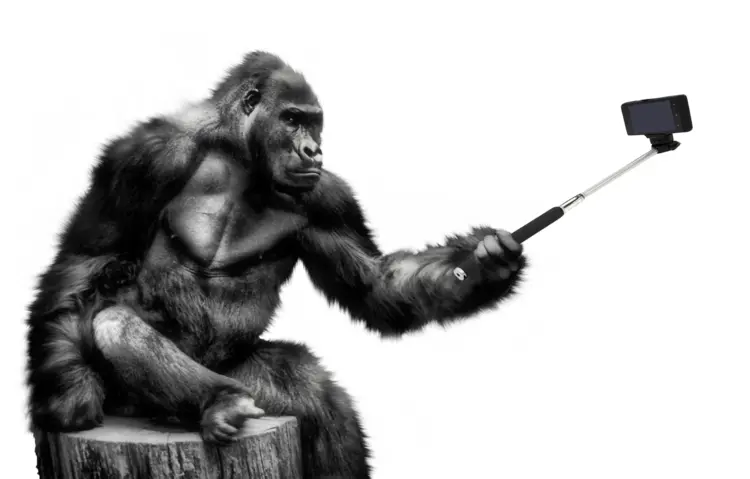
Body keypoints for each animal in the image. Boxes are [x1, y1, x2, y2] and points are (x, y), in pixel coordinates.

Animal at [26, 51, 527, 479]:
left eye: (314, 123)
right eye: (291, 119)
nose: (313, 150)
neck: (238, 153)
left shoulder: (329, 198)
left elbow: (374, 284)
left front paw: (489, 263)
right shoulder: (144, 156)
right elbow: (87, 261)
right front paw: (69, 391)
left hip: (252, 383)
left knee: (315, 398)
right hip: (137, 401)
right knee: (113, 323)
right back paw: (219, 402)